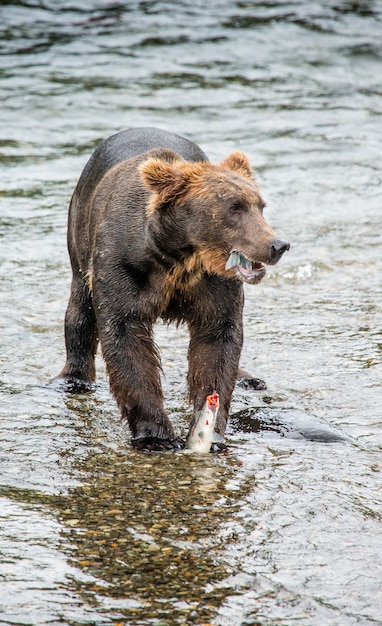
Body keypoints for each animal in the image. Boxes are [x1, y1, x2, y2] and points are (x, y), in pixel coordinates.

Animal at [56, 127, 290, 448]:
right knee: (80, 309)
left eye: (260, 206)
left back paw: (249, 378)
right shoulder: (122, 267)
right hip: (79, 235)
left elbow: (218, 339)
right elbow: (125, 337)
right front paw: (157, 435)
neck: (179, 259)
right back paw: (73, 378)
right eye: (234, 207)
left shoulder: (212, 284)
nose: (278, 245)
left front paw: (211, 428)